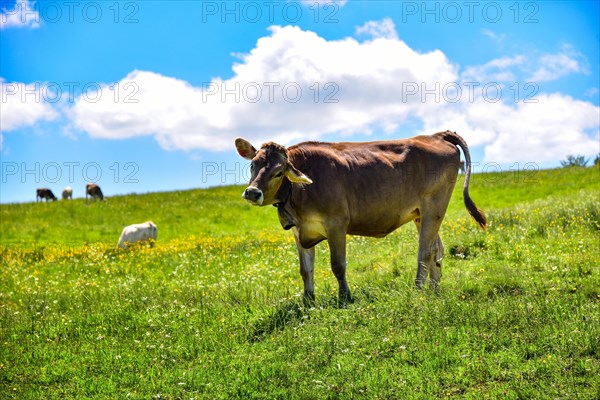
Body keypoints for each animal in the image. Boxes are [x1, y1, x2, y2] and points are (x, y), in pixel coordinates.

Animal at [234, 130, 488, 302]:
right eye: (253, 165)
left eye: (279, 172)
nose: (252, 192)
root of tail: (436, 135)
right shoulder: (299, 231)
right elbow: (305, 270)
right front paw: (308, 301)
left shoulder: (336, 223)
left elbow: (338, 265)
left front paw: (345, 297)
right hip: (421, 214)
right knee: (437, 249)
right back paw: (434, 291)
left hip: (433, 206)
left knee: (424, 251)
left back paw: (417, 289)